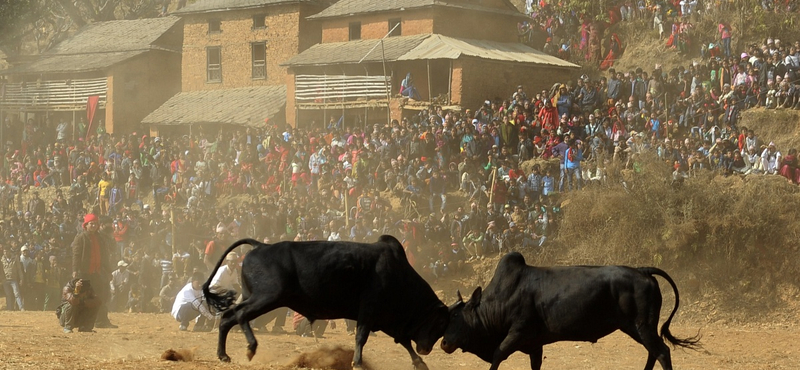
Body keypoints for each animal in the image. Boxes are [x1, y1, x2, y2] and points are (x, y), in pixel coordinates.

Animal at [202, 236, 450, 368]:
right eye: (439, 323)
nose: (428, 348)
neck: (398, 272)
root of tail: (260, 246)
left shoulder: (383, 319)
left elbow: (404, 341)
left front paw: (420, 362)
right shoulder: (369, 312)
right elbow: (362, 338)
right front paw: (357, 363)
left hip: (256, 297)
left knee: (228, 317)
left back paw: (223, 355)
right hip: (266, 298)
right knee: (240, 315)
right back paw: (251, 348)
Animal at [440, 253, 696, 370]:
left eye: (457, 317)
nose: (443, 343)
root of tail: (643, 271)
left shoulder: (517, 333)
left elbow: (497, 356)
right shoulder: (535, 345)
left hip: (642, 327)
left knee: (662, 352)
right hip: (640, 329)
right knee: (654, 352)